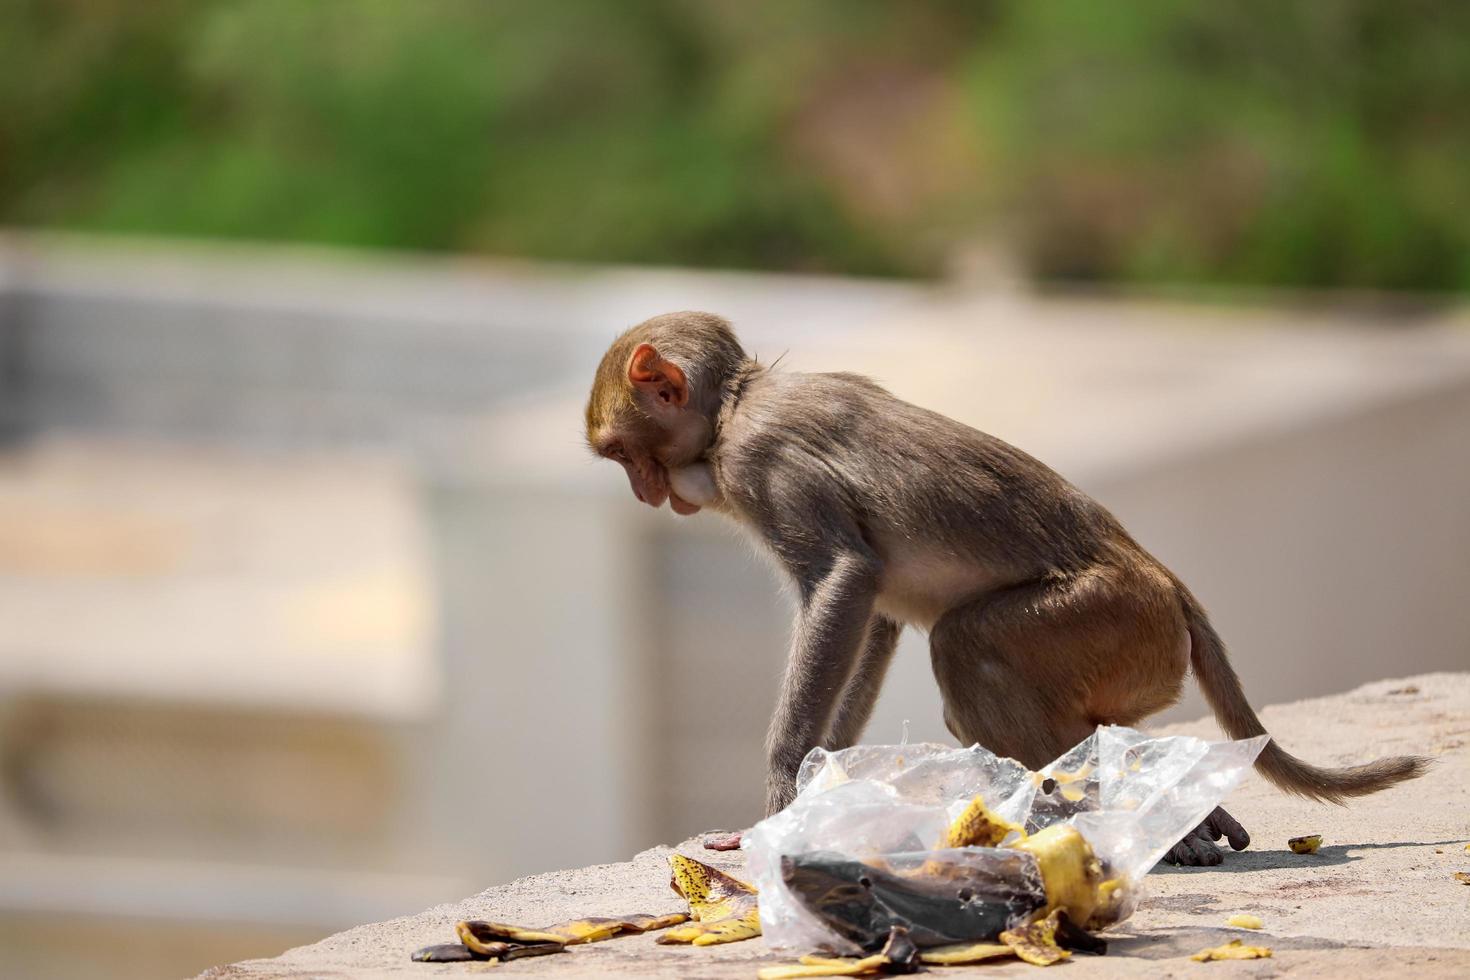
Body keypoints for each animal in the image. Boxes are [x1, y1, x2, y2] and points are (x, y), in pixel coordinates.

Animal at [582, 310, 1422, 863]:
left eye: (622, 454)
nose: (646, 494)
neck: (735, 407)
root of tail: (1168, 582)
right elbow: (875, 614)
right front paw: (824, 786)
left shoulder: (762, 462)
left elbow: (846, 580)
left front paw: (785, 790)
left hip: (1109, 618)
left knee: (964, 645)